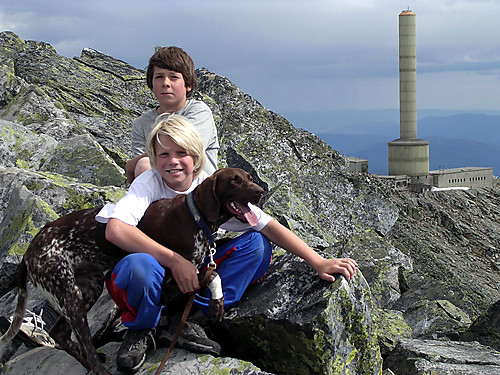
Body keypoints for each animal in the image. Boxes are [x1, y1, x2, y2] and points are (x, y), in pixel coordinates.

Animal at [0, 169, 266, 375]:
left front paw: (217, 302)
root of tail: (29, 251)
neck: (195, 217)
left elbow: (213, 274)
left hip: (87, 287)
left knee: (61, 334)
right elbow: (210, 274)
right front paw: (215, 299)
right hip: (69, 294)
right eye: (235, 180)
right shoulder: (174, 281)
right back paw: (100, 368)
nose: (260, 191)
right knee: (81, 342)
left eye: (249, 177)